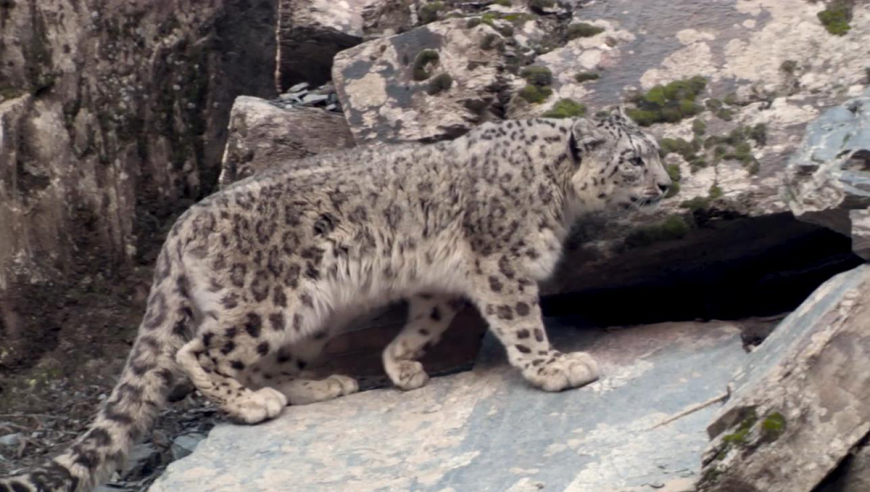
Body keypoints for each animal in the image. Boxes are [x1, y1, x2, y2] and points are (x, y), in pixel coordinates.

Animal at [1, 110, 676, 492]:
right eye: (634, 159)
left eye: (655, 153)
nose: (669, 184)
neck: (557, 195)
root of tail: (182, 223)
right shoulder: (502, 264)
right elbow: (521, 322)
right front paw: (555, 367)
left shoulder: (438, 281)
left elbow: (428, 318)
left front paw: (402, 366)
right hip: (268, 301)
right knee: (199, 353)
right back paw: (253, 406)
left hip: (312, 319)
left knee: (270, 362)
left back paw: (322, 385)